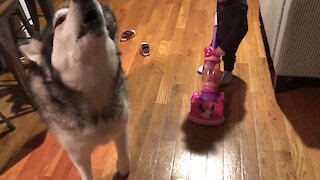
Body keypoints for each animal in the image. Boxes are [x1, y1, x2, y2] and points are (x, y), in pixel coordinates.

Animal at [19, 0, 129, 179]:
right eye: (59, 21)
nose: (85, 0)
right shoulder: (78, 155)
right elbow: (86, 173)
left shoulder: (122, 127)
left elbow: (123, 149)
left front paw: (124, 166)